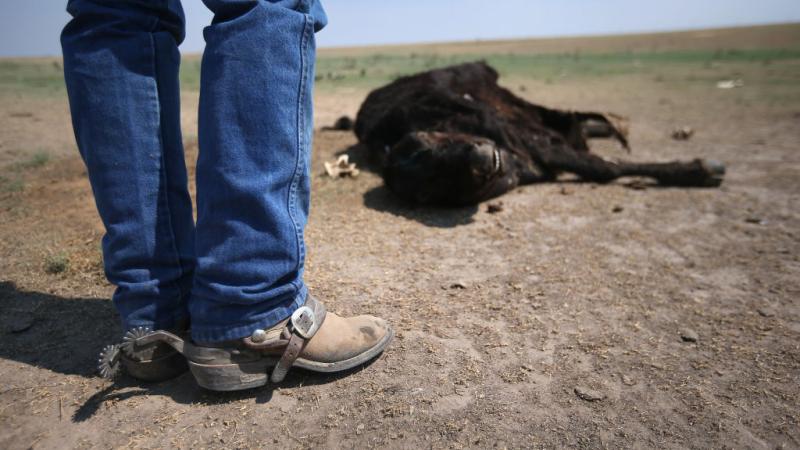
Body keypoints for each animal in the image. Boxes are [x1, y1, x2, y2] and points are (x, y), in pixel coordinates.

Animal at [351, 62, 725, 206]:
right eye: (433, 186)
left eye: (430, 145)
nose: (479, 158)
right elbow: (599, 165)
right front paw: (696, 170)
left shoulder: (515, 129)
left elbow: (600, 165)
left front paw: (695, 169)